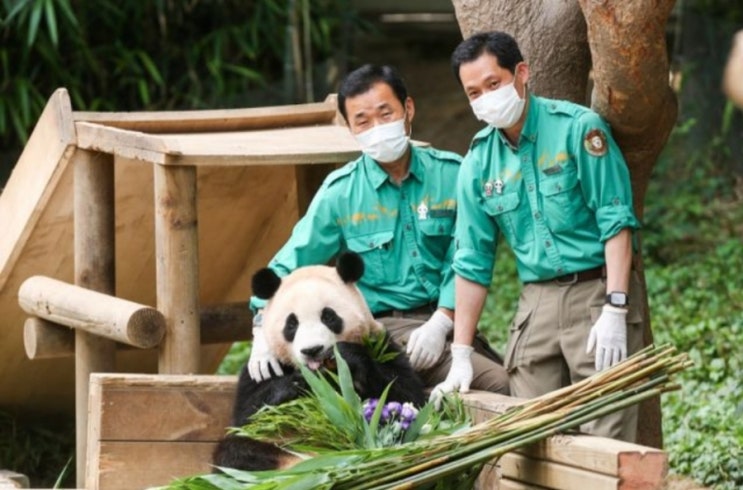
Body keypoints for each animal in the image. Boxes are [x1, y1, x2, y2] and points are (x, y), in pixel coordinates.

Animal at [212, 251, 428, 472]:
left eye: (328, 317)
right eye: (291, 324)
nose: (312, 350)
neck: (325, 371)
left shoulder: (381, 345)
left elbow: (405, 396)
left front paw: (347, 356)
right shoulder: (264, 368)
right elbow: (246, 415)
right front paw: (297, 382)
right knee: (236, 450)